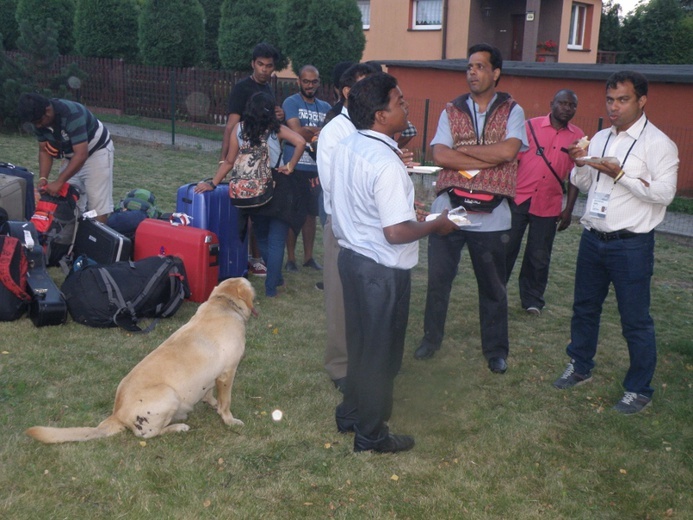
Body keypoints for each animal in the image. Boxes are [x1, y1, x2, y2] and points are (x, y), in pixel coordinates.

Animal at [25, 276, 256, 442]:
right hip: (169, 395)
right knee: (151, 434)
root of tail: (117, 414)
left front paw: (213, 404)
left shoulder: (213, 376)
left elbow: (209, 393)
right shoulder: (228, 372)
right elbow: (226, 402)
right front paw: (229, 420)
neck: (224, 303)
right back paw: (178, 426)